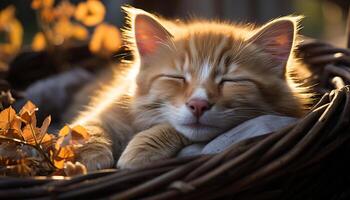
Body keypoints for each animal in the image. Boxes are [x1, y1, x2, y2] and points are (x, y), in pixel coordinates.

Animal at [67, 7, 312, 171]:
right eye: (177, 77)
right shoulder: (112, 107)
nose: (198, 104)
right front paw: (86, 157)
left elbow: (175, 129)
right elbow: (87, 127)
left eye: (231, 81)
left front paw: (139, 151)